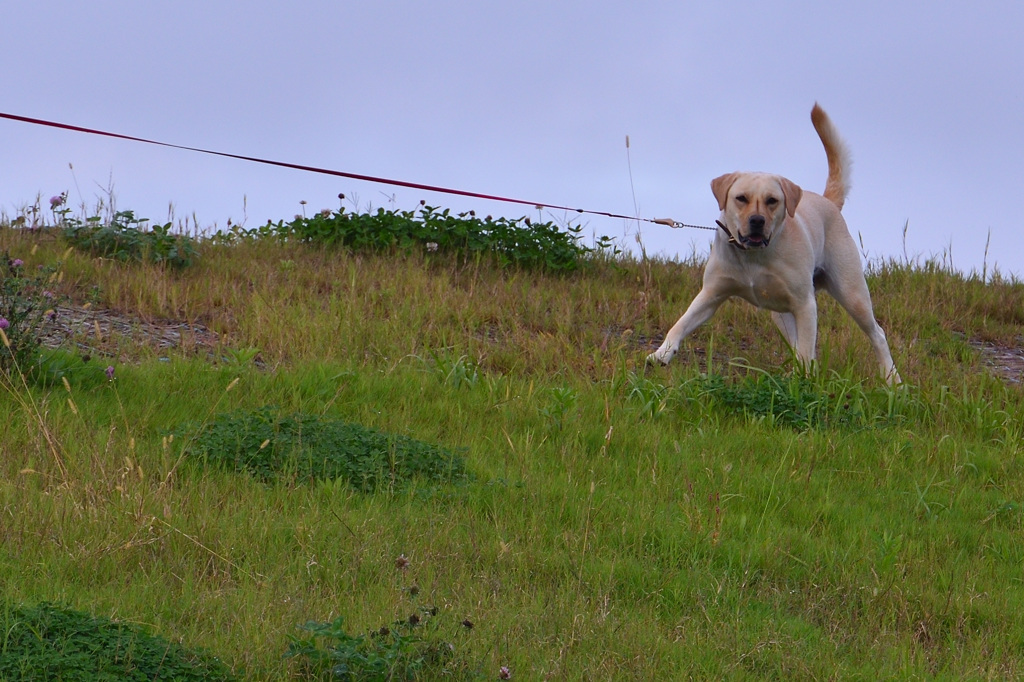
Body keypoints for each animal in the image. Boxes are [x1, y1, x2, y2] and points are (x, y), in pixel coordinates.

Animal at [651, 104, 901, 385]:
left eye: (772, 200)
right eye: (741, 198)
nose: (757, 221)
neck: (753, 255)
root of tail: (828, 202)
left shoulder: (805, 304)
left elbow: (807, 348)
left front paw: (803, 382)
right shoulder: (711, 294)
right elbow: (681, 323)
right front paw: (661, 353)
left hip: (851, 294)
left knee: (876, 334)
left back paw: (892, 380)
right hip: (781, 314)